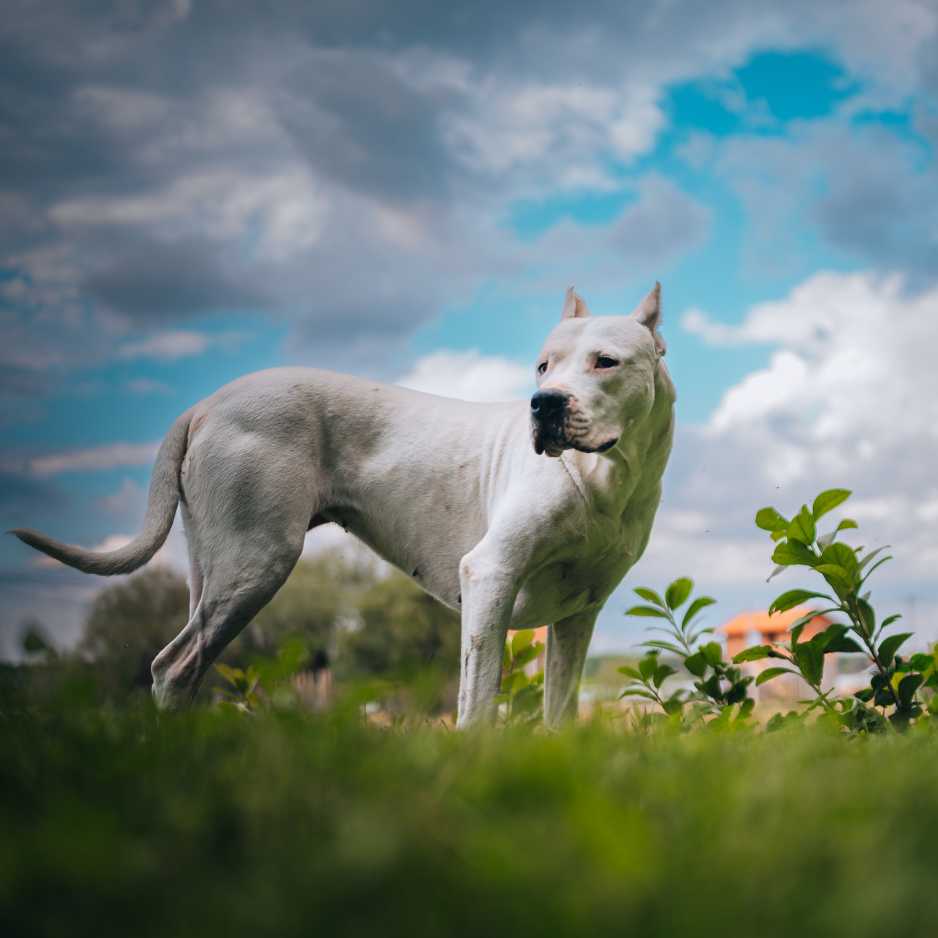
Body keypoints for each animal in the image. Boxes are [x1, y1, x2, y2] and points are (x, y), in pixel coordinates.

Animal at [14, 284, 672, 724]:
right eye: (542, 366)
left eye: (605, 362)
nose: (545, 403)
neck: (606, 476)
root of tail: (206, 403)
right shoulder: (491, 577)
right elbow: (477, 703)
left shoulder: (577, 617)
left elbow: (560, 712)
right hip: (256, 561)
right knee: (174, 665)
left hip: (216, 567)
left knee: (182, 665)